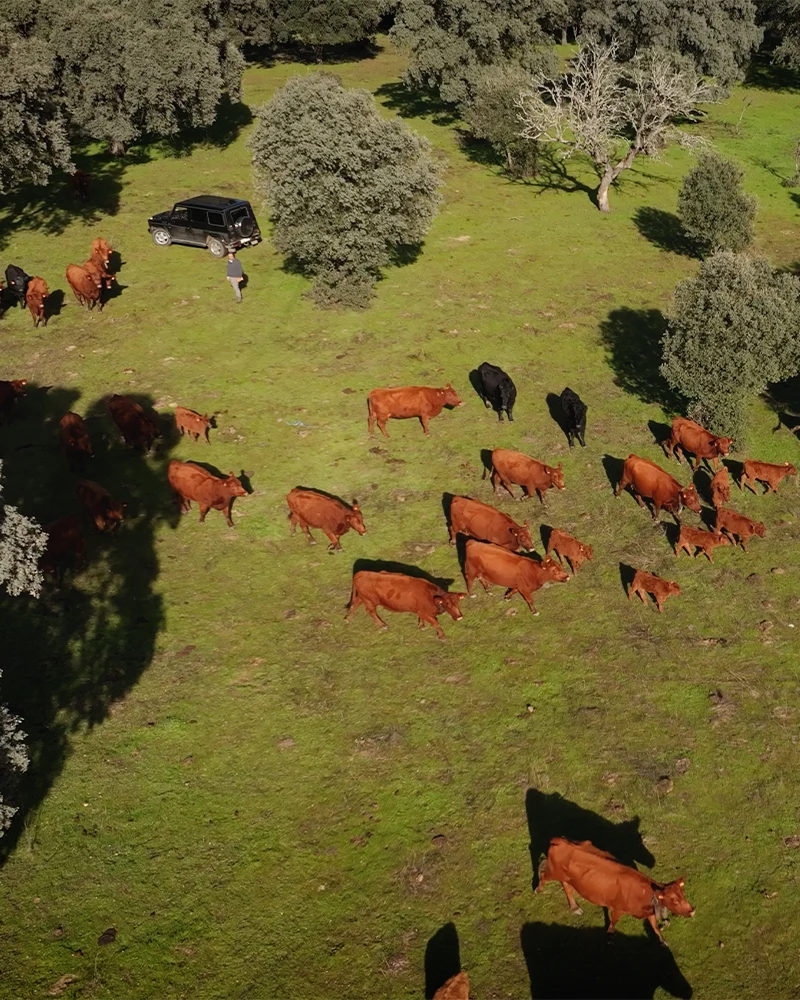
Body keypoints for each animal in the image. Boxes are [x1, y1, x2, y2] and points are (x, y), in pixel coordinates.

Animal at [536, 838, 695, 945]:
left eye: (683, 894)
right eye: (674, 899)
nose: (692, 911)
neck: (643, 893)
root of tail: (560, 841)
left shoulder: (650, 911)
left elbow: (655, 927)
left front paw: (663, 941)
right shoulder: (617, 909)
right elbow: (613, 923)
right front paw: (610, 937)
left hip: (566, 877)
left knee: (567, 887)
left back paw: (575, 907)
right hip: (553, 872)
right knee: (543, 875)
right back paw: (538, 889)